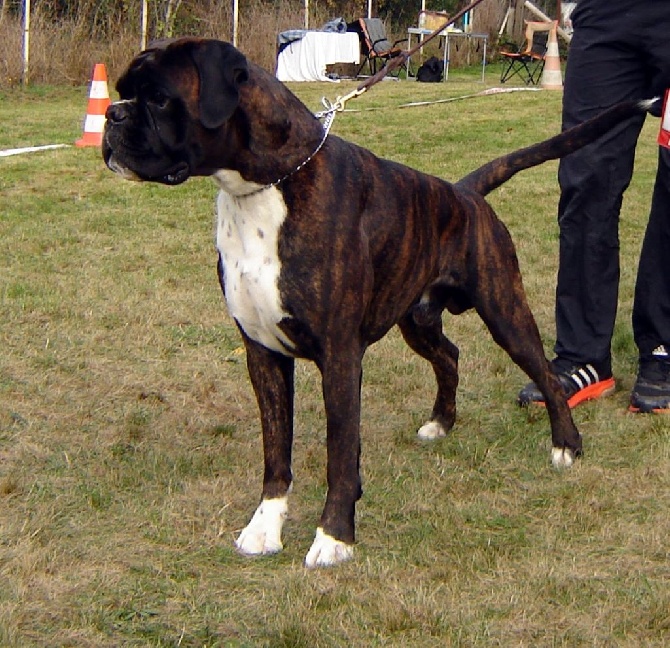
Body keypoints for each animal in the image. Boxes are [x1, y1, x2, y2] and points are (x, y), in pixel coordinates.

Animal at [102, 39, 660, 568]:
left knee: (544, 372)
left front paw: (334, 538)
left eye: (158, 97)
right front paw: (264, 528)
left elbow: (339, 453)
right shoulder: (263, 353)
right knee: (450, 356)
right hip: (418, 320)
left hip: (504, 309)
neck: (264, 188)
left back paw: (566, 445)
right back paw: (441, 423)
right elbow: (275, 452)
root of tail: (463, 193)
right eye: (124, 91)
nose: (112, 115)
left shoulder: (339, 357)